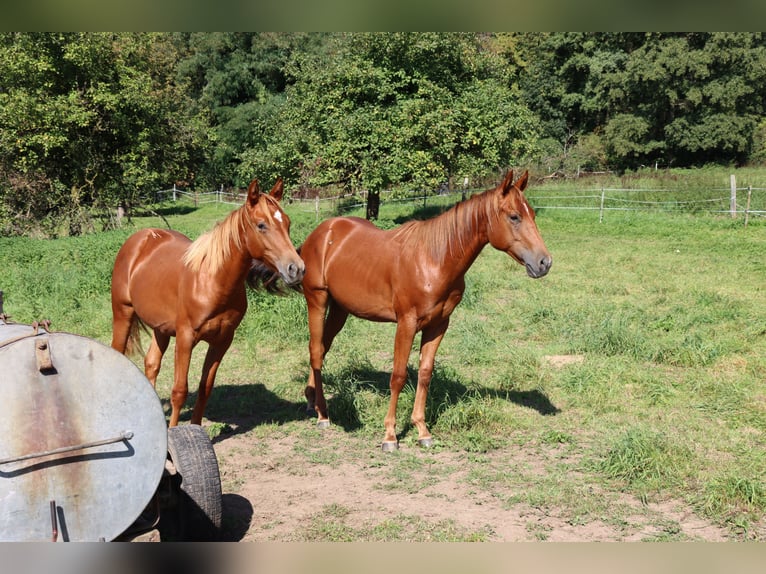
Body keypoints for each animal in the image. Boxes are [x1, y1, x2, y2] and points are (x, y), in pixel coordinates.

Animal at [110, 178, 305, 427]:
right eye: (262, 225)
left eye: (287, 223)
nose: (296, 269)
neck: (212, 281)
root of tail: (140, 239)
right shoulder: (185, 338)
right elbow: (179, 391)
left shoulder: (222, 340)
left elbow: (205, 389)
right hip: (123, 314)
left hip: (161, 329)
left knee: (152, 364)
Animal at [300, 170, 551, 450]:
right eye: (514, 216)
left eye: (533, 214)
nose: (544, 263)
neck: (434, 259)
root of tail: (322, 232)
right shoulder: (406, 323)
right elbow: (398, 376)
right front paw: (390, 436)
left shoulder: (438, 325)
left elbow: (425, 373)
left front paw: (422, 430)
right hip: (317, 301)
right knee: (315, 351)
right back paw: (323, 415)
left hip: (339, 309)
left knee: (322, 349)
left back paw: (312, 401)